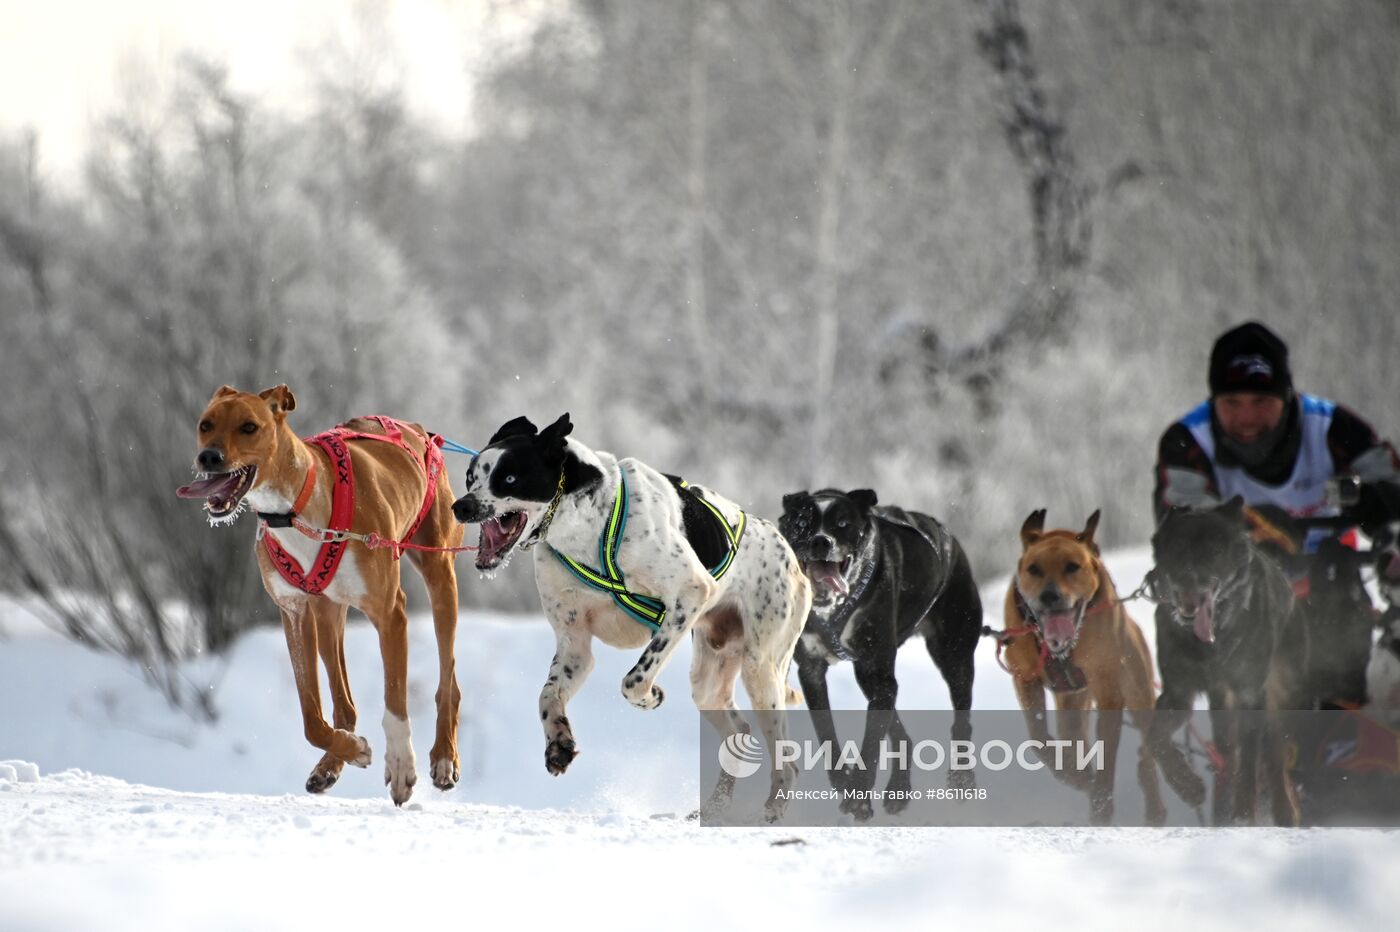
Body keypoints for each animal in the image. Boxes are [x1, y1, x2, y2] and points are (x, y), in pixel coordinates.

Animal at [177, 380, 464, 800]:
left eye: (249, 427)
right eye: (205, 424)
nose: (208, 457)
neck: (297, 509)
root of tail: (417, 429)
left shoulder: (390, 613)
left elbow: (395, 703)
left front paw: (400, 764)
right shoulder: (294, 612)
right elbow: (312, 717)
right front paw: (353, 749)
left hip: (440, 575)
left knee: (448, 684)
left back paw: (443, 756)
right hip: (329, 614)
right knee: (345, 706)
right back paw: (334, 760)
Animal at [453, 411, 812, 817]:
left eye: (509, 478)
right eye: (470, 478)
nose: (461, 506)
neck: (586, 526)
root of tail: (789, 555)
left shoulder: (690, 593)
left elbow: (633, 680)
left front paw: (649, 696)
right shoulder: (574, 646)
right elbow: (547, 697)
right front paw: (558, 742)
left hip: (760, 670)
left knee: (786, 759)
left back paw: (772, 811)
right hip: (708, 682)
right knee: (738, 732)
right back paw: (714, 809)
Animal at [778, 486, 985, 811]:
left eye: (843, 524)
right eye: (802, 523)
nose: (821, 541)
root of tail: (949, 538)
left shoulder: (880, 672)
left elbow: (871, 741)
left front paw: (859, 796)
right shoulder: (812, 670)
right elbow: (827, 735)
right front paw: (845, 782)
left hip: (954, 655)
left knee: (961, 720)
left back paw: (961, 780)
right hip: (868, 674)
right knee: (900, 732)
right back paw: (899, 786)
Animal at [1002, 509, 1164, 822]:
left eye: (1072, 567)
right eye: (1034, 569)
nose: (1049, 595)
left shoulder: (1108, 689)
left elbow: (1107, 754)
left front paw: (1101, 798)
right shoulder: (1024, 678)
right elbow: (1039, 739)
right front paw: (1079, 778)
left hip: (1138, 692)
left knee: (1150, 753)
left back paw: (1161, 803)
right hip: (1072, 707)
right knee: (1073, 739)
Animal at [1142, 498, 1304, 822]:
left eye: (1215, 551)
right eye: (1177, 548)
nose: (1190, 584)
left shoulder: (1249, 694)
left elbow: (1252, 764)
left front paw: (1243, 814)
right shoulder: (1177, 692)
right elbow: (1155, 738)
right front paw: (1186, 785)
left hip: (1279, 699)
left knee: (1274, 758)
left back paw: (1283, 811)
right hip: (1223, 711)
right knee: (1229, 756)